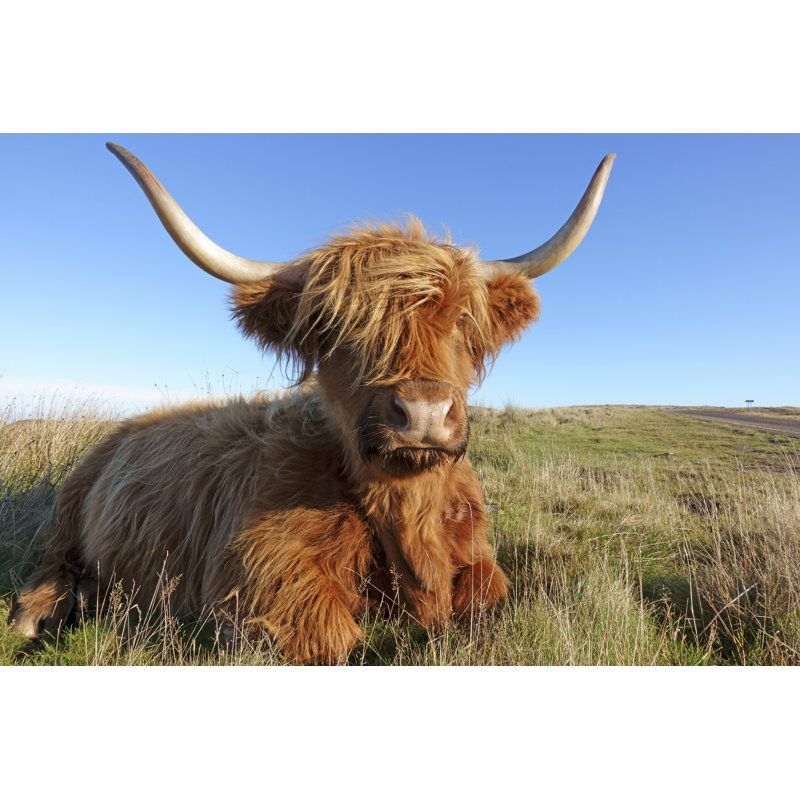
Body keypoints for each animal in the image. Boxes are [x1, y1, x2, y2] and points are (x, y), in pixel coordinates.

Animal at [10, 143, 614, 664]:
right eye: (336, 328)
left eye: (464, 319)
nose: (422, 413)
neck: (406, 519)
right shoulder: (258, 577)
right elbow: (333, 638)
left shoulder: (477, 556)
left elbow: (490, 597)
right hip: (68, 509)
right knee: (52, 562)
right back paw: (43, 611)